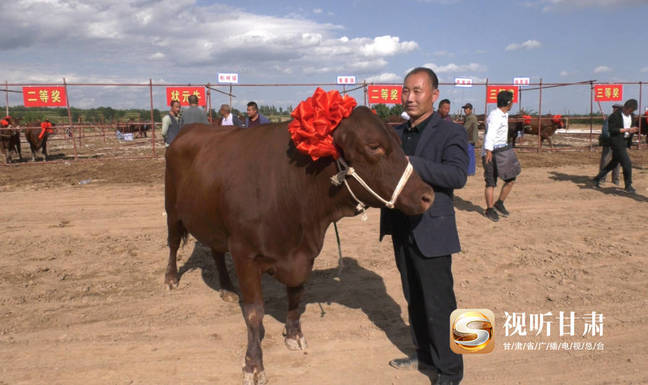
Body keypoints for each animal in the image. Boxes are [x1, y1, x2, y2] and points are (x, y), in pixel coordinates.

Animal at [165, 106, 432, 384]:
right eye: (374, 146)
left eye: (399, 141)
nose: (427, 195)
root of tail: (189, 130)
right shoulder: (244, 254)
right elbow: (254, 313)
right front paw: (253, 364)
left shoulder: (304, 255)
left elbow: (295, 295)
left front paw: (294, 335)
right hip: (172, 208)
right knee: (173, 243)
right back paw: (171, 278)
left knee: (216, 251)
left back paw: (227, 288)